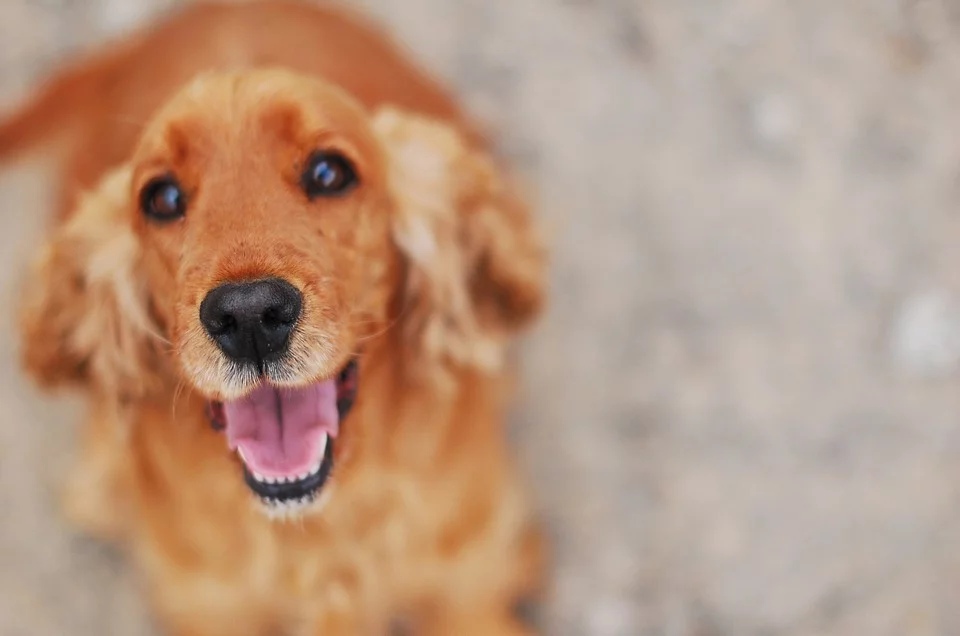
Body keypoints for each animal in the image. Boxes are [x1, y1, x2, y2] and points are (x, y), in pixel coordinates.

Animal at [0, 2, 548, 632]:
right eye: (161, 197)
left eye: (329, 173)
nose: (249, 316)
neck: (313, 534)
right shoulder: (211, 609)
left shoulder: (467, 588)